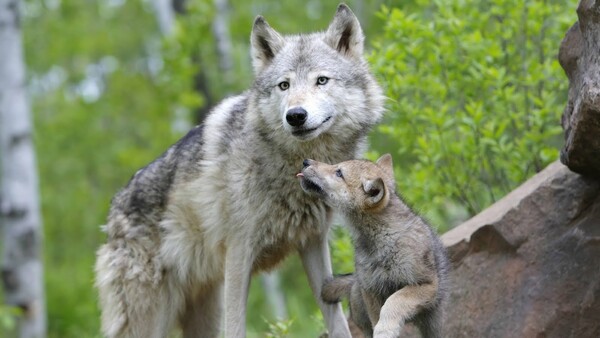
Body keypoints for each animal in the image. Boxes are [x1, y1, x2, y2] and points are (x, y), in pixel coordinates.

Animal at [94, 3, 384, 338]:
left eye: (321, 80)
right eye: (284, 85)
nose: (295, 116)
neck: (291, 167)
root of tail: (113, 212)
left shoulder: (312, 243)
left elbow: (335, 320)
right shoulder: (238, 254)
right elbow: (236, 327)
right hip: (152, 317)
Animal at [298, 154, 448, 338]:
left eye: (339, 172)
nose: (306, 161)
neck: (382, 238)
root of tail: (354, 280)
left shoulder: (426, 285)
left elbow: (395, 300)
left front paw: (386, 328)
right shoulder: (371, 291)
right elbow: (378, 316)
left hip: (433, 323)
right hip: (360, 306)